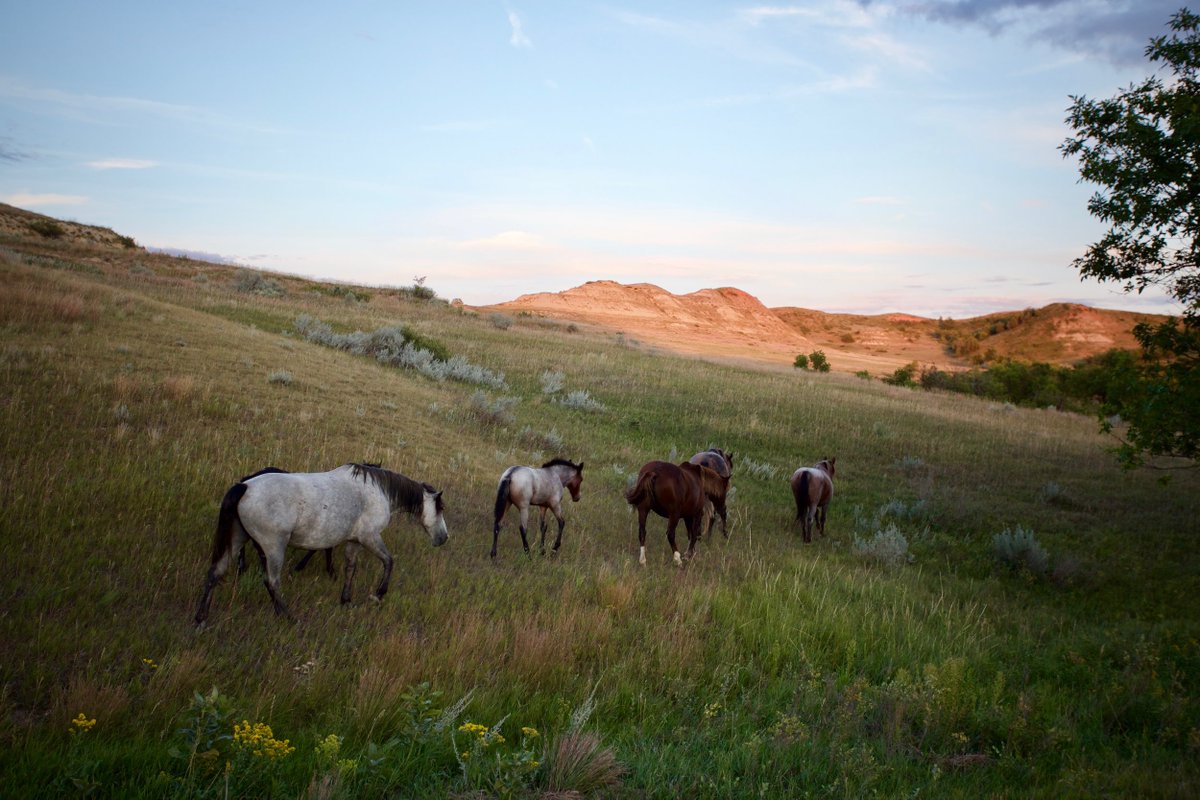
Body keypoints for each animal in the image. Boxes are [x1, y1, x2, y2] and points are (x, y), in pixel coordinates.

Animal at [194, 462, 448, 623]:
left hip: (237, 539)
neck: (378, 491)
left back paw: (201, 618)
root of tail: (244, 486)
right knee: (271, 582)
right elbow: (389, 561)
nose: (443, 538)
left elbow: (350, 568)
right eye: (439, 509)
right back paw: (288, 617)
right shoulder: (369, 537)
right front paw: (378, 594)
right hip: (273, 547)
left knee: (215, 572)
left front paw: (346, 600)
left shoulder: (354, 541)